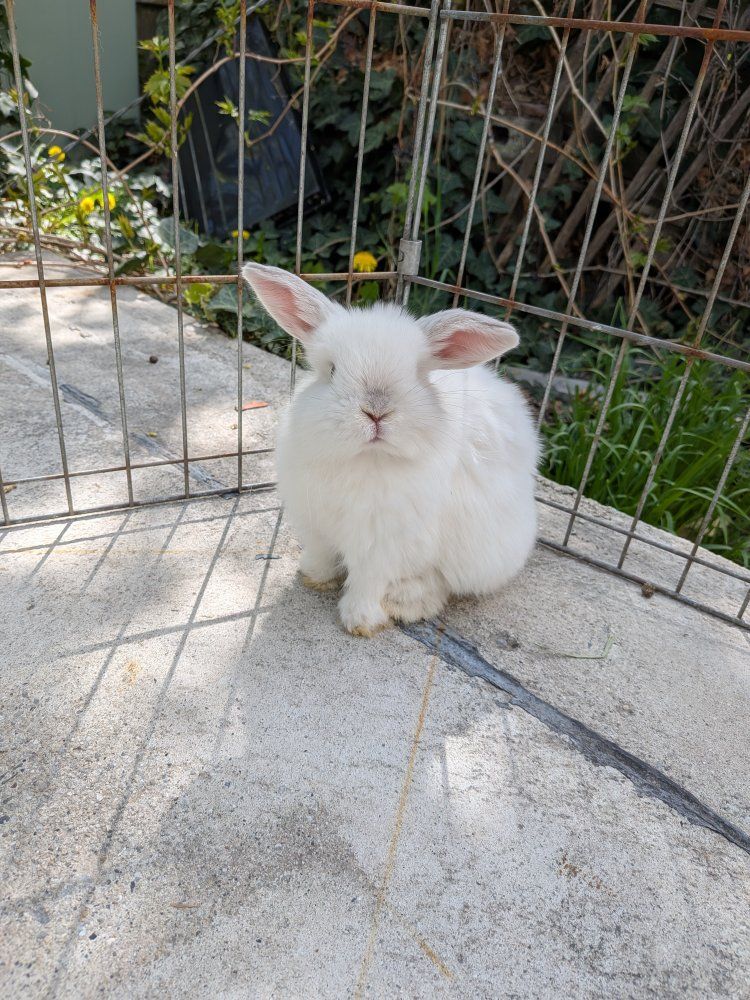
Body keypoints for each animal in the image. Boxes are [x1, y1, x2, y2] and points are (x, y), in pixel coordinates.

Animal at [242, 262, 539, 637]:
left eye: (416, 375)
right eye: (332, 369)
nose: (376, 411)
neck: (365, 458)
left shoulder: (384, 544)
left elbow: (368, 581)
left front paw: (360, 622)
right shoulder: (317, 522)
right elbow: (323, 554)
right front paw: (313, 576)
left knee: (441, 581)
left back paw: (407, 602)